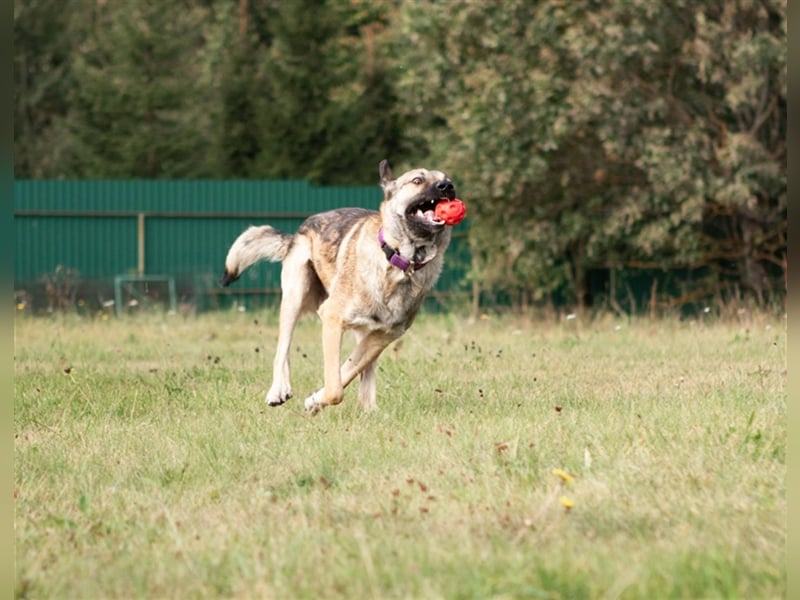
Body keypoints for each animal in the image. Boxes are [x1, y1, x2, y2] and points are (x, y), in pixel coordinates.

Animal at [220, 159, 456, 412]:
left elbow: (348, 370)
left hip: (363, 333)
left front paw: (316, 398)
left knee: (364, 375)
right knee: (282, 350)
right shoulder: (332, 319)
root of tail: (297, 232)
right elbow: (335, 388)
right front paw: (315, 400)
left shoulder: (383, 335)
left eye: (446, 179)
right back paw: (278, 390)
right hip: (295, 296)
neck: (400, 263)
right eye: (417, 180)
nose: (447, 186)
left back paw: (369, 409)